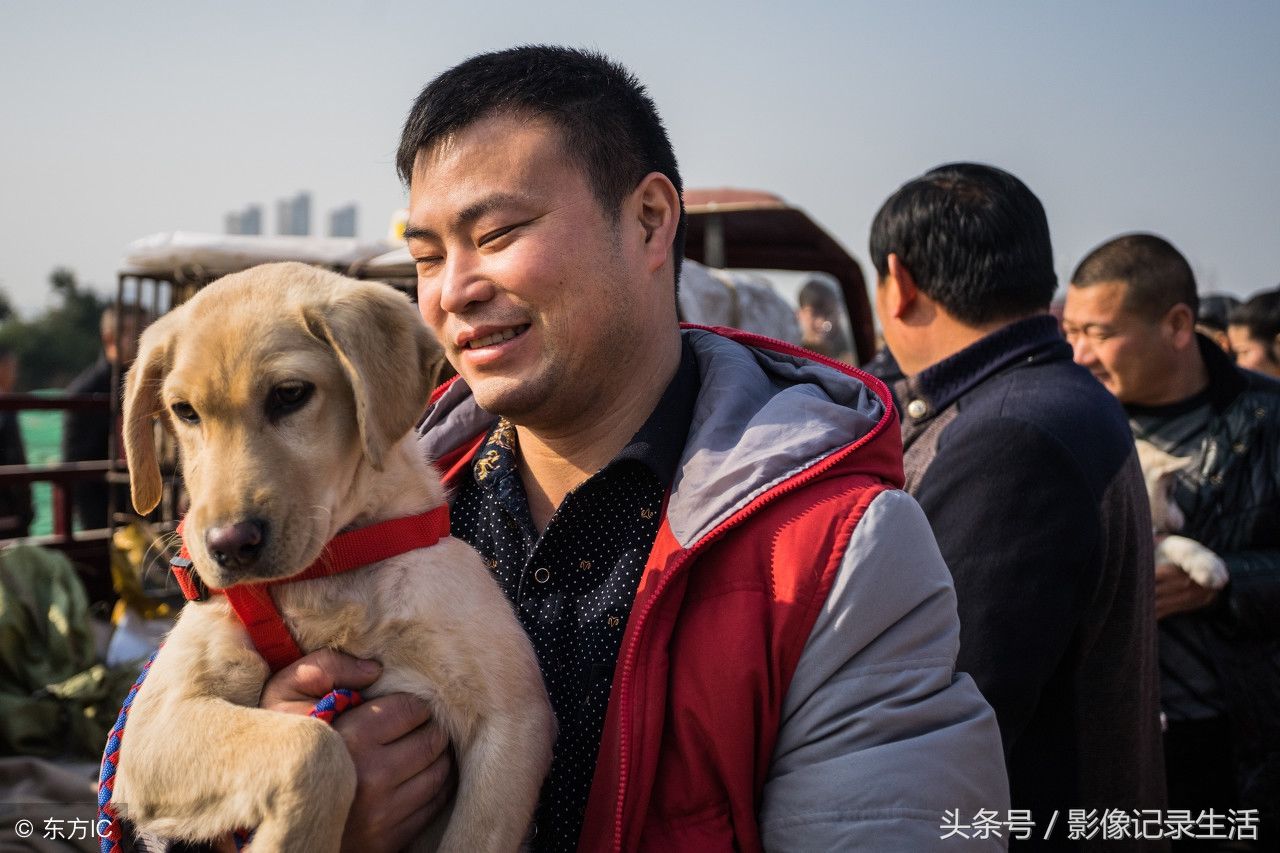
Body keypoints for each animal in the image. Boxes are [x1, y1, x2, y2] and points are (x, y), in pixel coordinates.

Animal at [116, 262, 560, 845]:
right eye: (184, 412)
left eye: (289, 394)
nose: (228, 545)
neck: (331, 574)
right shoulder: (154, 724)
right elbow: (316, 745)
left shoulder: (514, 722)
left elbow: (468, 834)